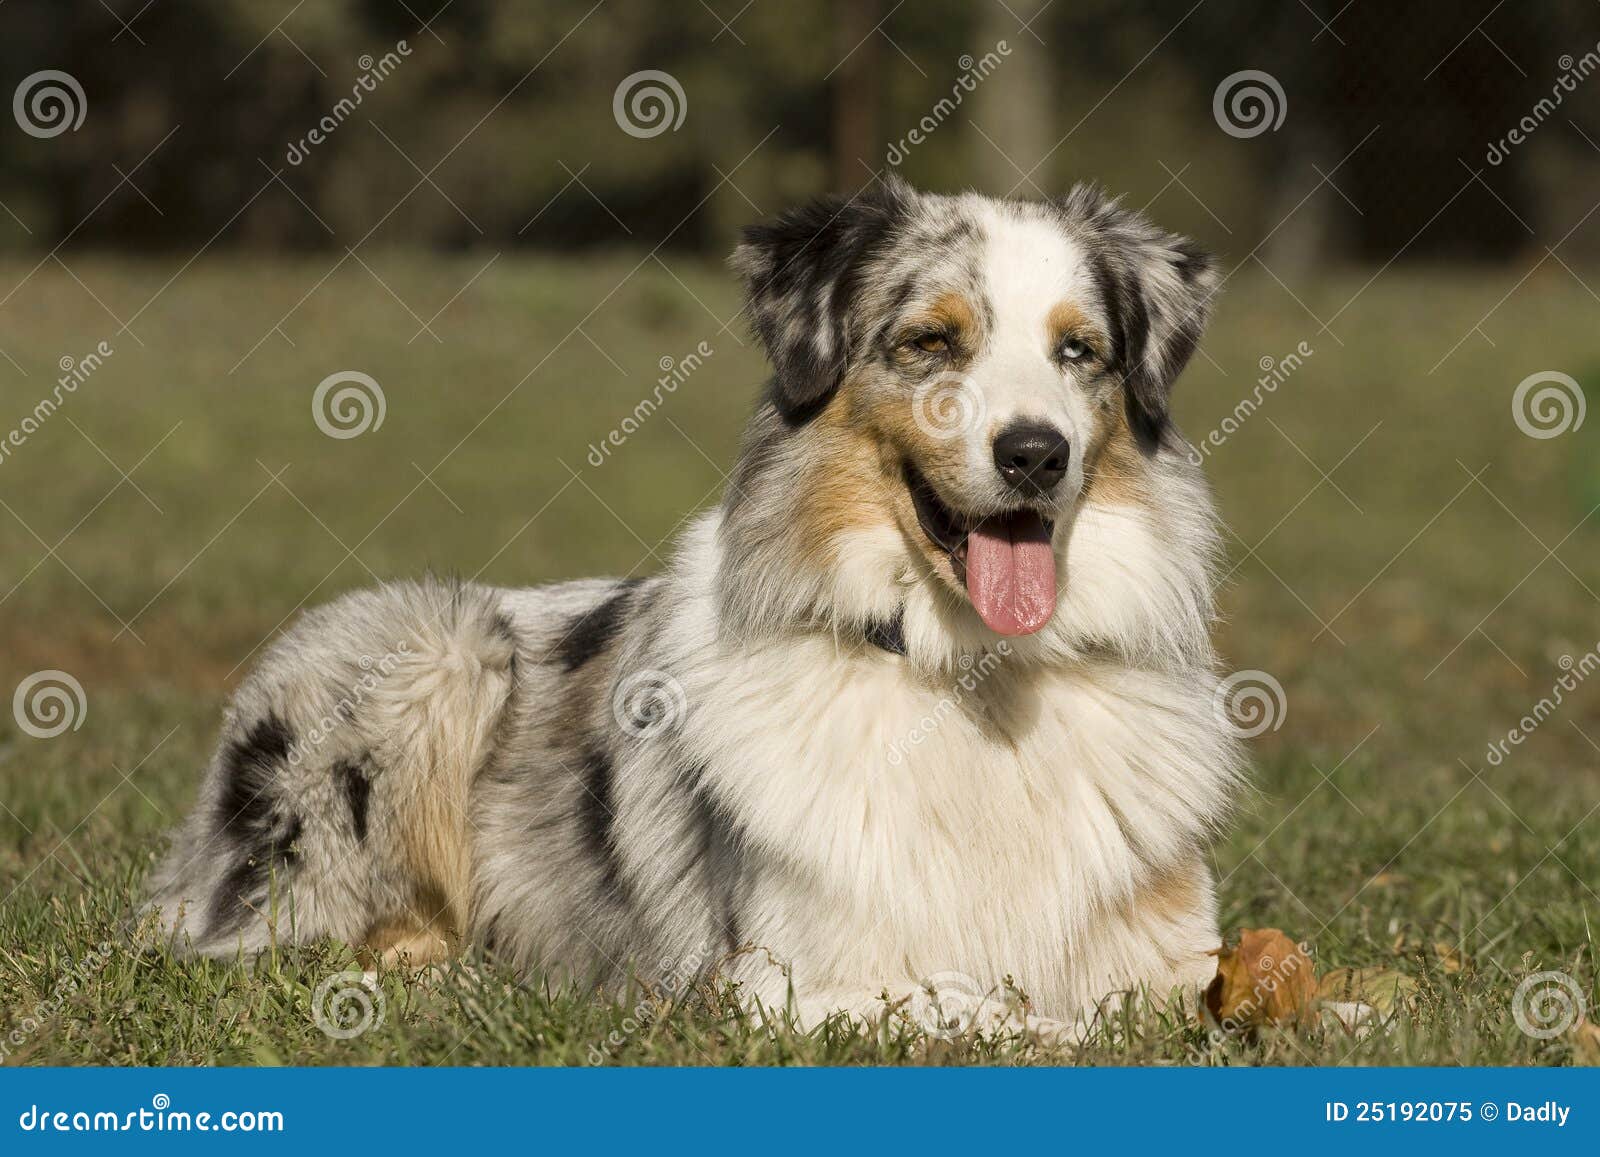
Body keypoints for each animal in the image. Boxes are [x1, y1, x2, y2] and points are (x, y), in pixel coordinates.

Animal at [150, 180, 1241, 1043]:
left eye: (1079, 352)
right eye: (932, 342)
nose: (1035, 453)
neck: (971, 675)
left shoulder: (1168, 950)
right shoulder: (774, 983)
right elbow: (992, 1009)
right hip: (436, 652)